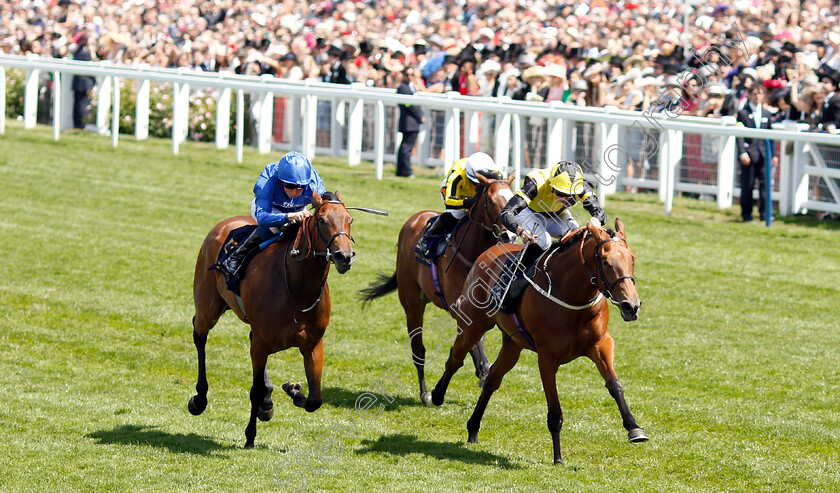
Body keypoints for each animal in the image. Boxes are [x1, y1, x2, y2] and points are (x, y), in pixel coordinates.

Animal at [189, 190, 356, 448]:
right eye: (321, 220)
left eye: (349, 219)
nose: (344, 256)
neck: (298, 290)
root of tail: (223, 224)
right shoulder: (261, 343)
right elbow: (255, 391)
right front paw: (250, 436)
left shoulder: (313, 344)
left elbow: (315, 399)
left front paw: (293, 390)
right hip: (209, 308)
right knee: (199, 333)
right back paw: (199, 398)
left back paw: (267, 403)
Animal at [362, 172, 520, 396]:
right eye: (490, 200)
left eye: (513, 198)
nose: (510, 235)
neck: (473, 255)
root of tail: (415, 218)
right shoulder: (457, 306)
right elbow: (472, 340)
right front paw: (482, 368)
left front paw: (483, 370)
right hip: (412, 302)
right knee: (418, 349)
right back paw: (424, 393)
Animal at [430, 217, 648, 464]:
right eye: (605, 261)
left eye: (632, 258)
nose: (631, 306)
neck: (573, 295)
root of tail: (488, 252)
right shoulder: (547, 357)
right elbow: (554, 410)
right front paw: (558, 458)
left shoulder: (601, 344)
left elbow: (614, 385)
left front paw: (634, 428)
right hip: (473, 325)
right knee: (455, 359)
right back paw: (435, 395)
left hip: (513, 343)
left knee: (493, 378)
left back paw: (473, 428)